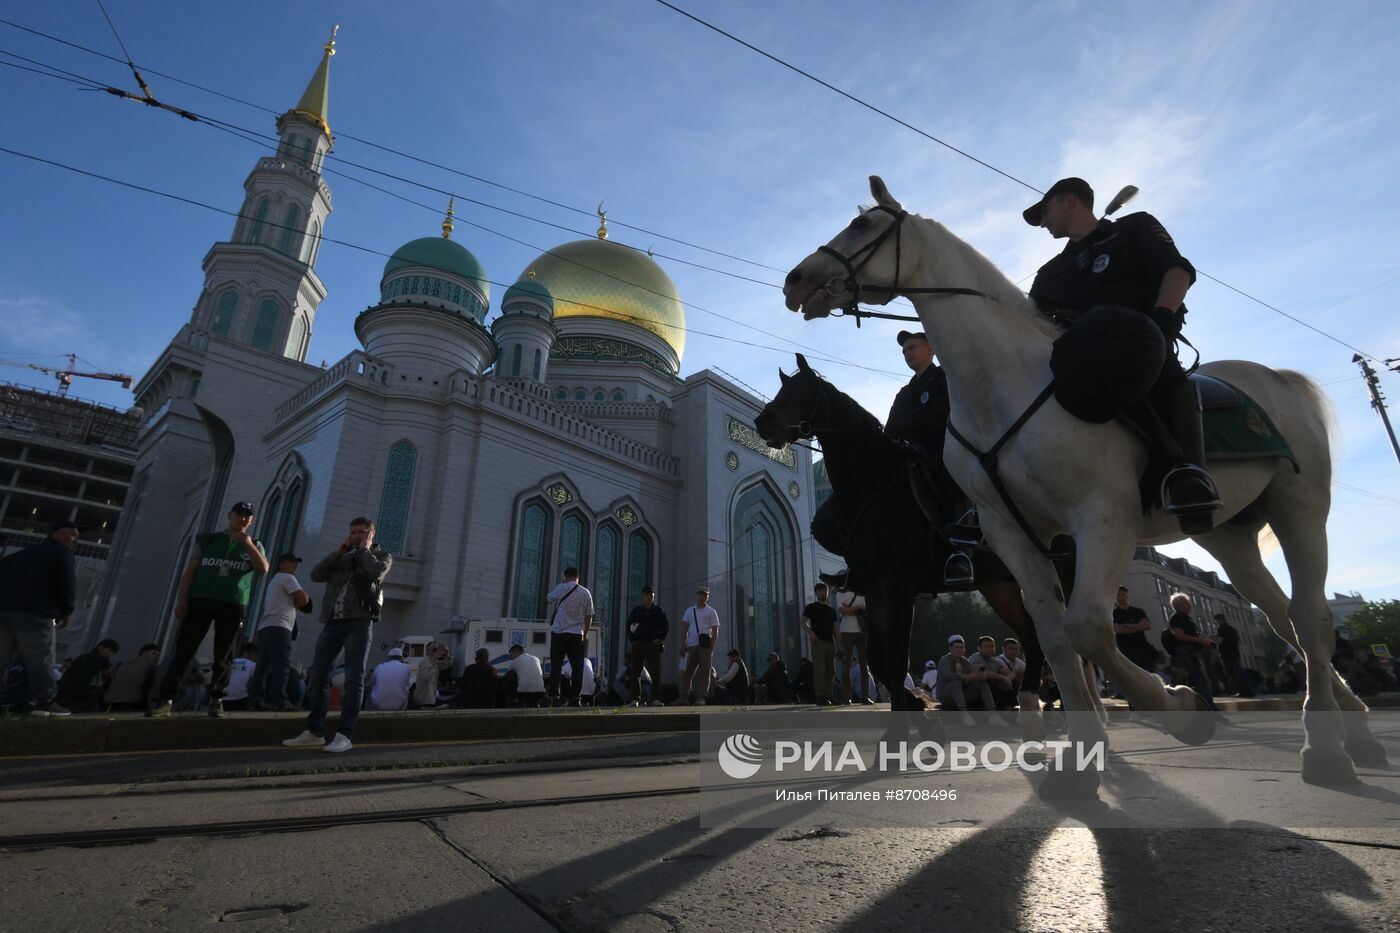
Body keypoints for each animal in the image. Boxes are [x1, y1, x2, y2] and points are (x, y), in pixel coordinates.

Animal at [756, 353, 1069, 739]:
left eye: (800, 390)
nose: (763, 422)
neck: (875, 482)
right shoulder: (875, 591)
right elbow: (878, 659)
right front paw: (919, 714)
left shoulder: (900, 585)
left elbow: (896, 658)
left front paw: (899, 732)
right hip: (1001, 584)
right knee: (1033, 637)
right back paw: (1033, 707)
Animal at [789, 176, 1388, 790]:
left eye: (862, 225)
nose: (796, 281)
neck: (1003, 385)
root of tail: (1276, 377)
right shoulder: (1011, 536)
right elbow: (1054, 637)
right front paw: (1080, 755)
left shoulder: (1102, 517)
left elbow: (1087, 630)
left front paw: (1181, 708)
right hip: (1227, 535)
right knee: (1283, 618)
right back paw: (1354, 730)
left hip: (1300, 507)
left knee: (1311, 618)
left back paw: (1328, 747)